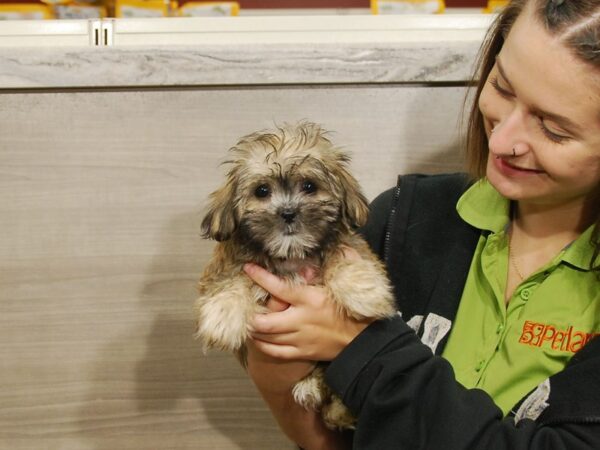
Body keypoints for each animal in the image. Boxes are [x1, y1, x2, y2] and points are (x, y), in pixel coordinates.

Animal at [195, 120, 396, 428]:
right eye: (262, 191)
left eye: (309, 186)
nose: (288, 213)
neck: (291, 255)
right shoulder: (227, 263)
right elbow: (232, 278)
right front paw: (224, 316)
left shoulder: (349, 245)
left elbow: (344, 256)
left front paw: (364, 292)